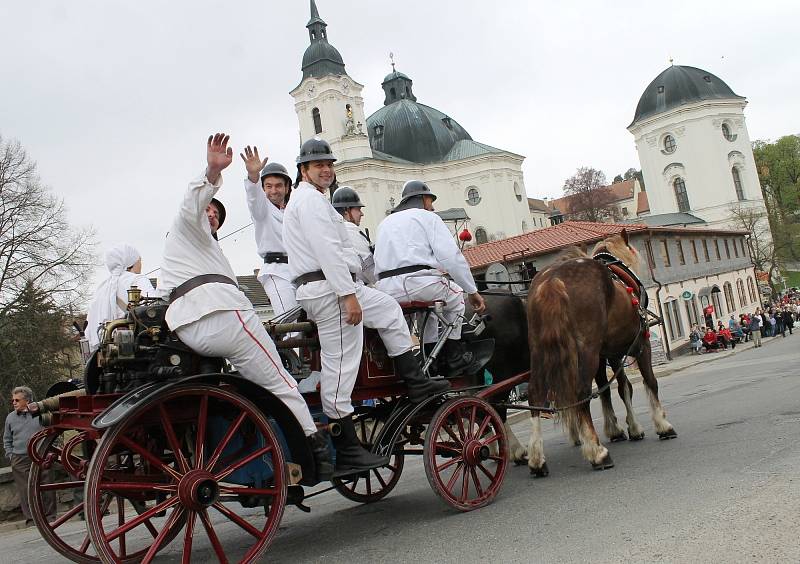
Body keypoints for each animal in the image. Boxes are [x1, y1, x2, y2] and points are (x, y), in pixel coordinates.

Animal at [524, 229, 676, 476]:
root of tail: (552, 280)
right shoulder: (640, 345)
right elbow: (649, 381)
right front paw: (662, 425)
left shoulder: (609, 355)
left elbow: (619, 388)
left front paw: (625, 428)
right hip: (587, 351)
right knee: (581, 393)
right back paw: (597, 453)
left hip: (540, 351)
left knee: (536, 394)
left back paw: (537, 459)